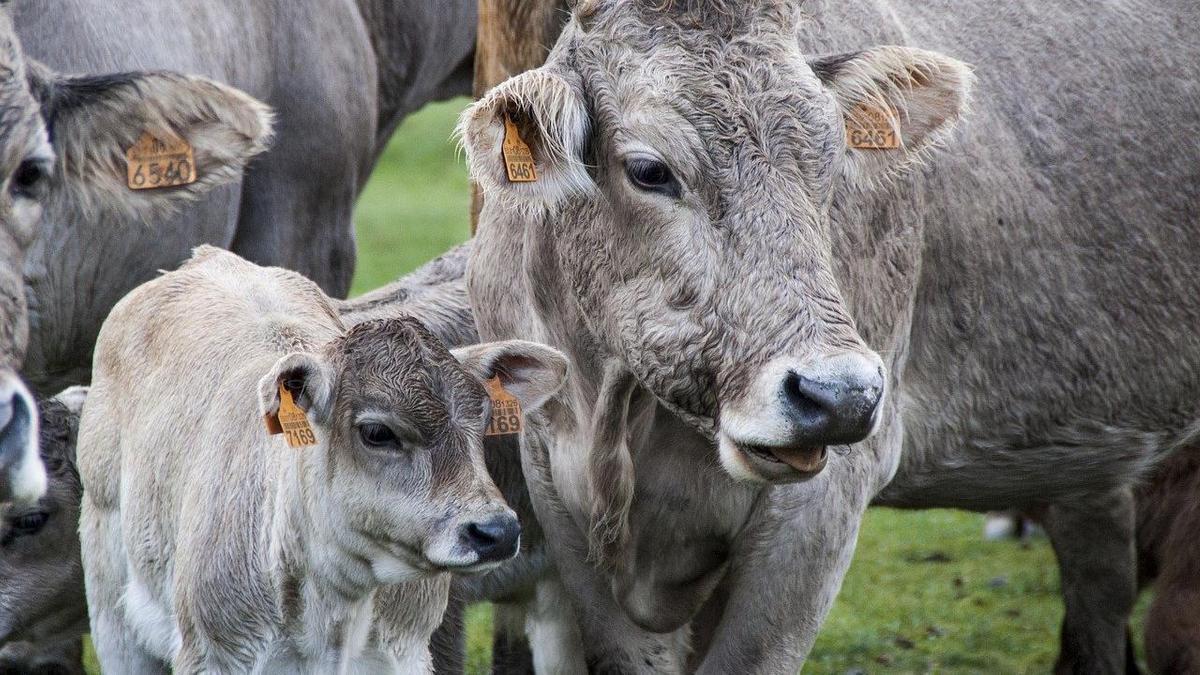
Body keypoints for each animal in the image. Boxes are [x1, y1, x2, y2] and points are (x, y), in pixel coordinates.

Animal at [451, 2, 1200, 667]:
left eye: (832, 161)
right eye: (649, 170)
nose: (839, 395)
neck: (617, 414)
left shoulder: (821, 507)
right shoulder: (556, 488)